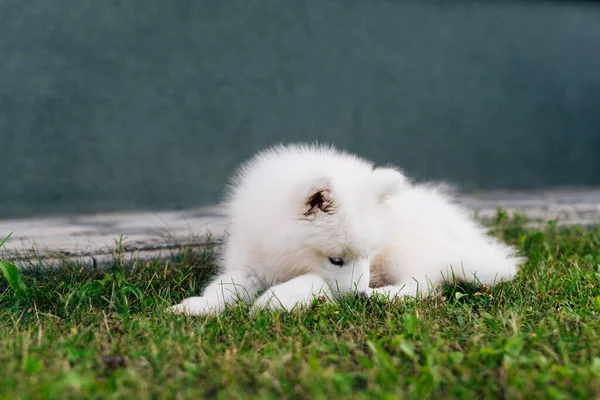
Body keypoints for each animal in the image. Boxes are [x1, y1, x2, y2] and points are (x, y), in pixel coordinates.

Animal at [170, 144, 524, 316]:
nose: (359, 296)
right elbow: (225, 285)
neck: (283, 255)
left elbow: (311, 282)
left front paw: (273, 301)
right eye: (337, 260)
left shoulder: (324, 276)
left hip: (408, 253)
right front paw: (198, 306)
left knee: (423, 285)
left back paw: (385, 296)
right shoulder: (251, 262)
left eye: (366, 256)